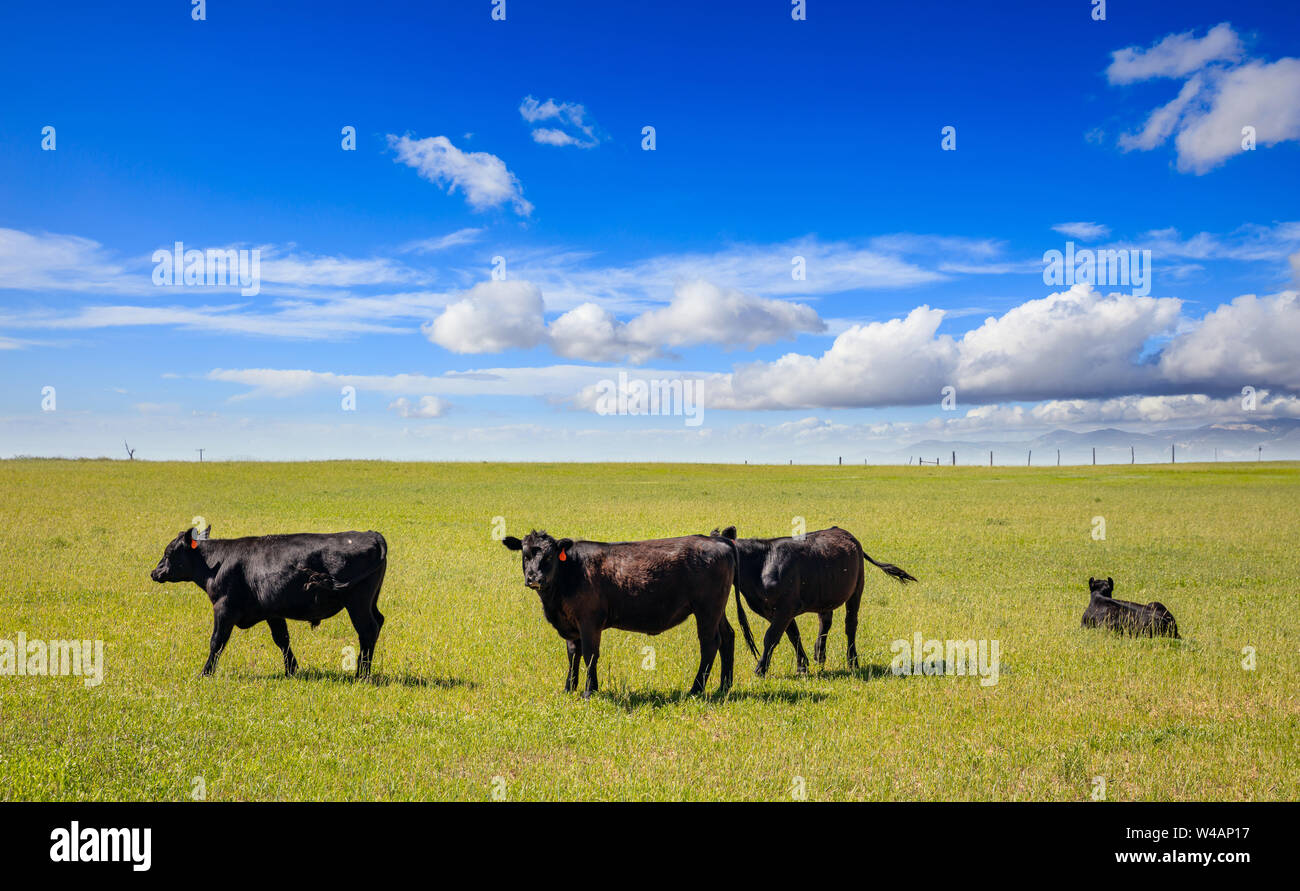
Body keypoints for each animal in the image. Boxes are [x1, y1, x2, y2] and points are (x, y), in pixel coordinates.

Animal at [150, 520, 387, 676]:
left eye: (169, 552)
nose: (154, 572)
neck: (218, 563)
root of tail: (371, 534)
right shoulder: (272, 612)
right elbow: (282, 639)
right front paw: (291, 670)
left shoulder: (224, 608)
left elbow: (216, 641)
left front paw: (205, 673)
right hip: (370, 601)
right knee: (378, 622)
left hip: (358, 604)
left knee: (367, 630)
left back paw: (361, 674)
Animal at [499, 528, 748, 697]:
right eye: (525, 555)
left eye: (549, 556)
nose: (534, 578)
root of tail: (718, 540)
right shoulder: (571, 624)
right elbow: (573, 654)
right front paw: (569, 688)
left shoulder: (589, 622)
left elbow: (589, 654)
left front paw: (590, 691)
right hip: (717, 611)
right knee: (728, 637)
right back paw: (724, 686)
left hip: (707, 610)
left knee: (710, 644)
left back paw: (695, 689)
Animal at [712, 520, 915, 676]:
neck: (762, 564)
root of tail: (842, 531)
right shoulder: (775, 611)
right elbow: (793, 635)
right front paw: (802, 665)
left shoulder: (785, 608)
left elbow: (771, 637)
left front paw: (760, 669)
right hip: (826, 595)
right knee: (825, 622)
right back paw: (820, 656)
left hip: (856, 590)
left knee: (850, 625)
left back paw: (853, 661)